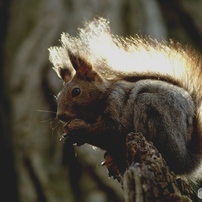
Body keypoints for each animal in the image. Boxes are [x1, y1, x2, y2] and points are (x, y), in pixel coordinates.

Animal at [48, 18, 202, 182]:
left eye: (76, 91)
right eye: (58, 96)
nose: (60, 115)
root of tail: (186, 159)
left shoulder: (117, 106)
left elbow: (111, 130)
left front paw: (79, 131)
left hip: (154, 116)